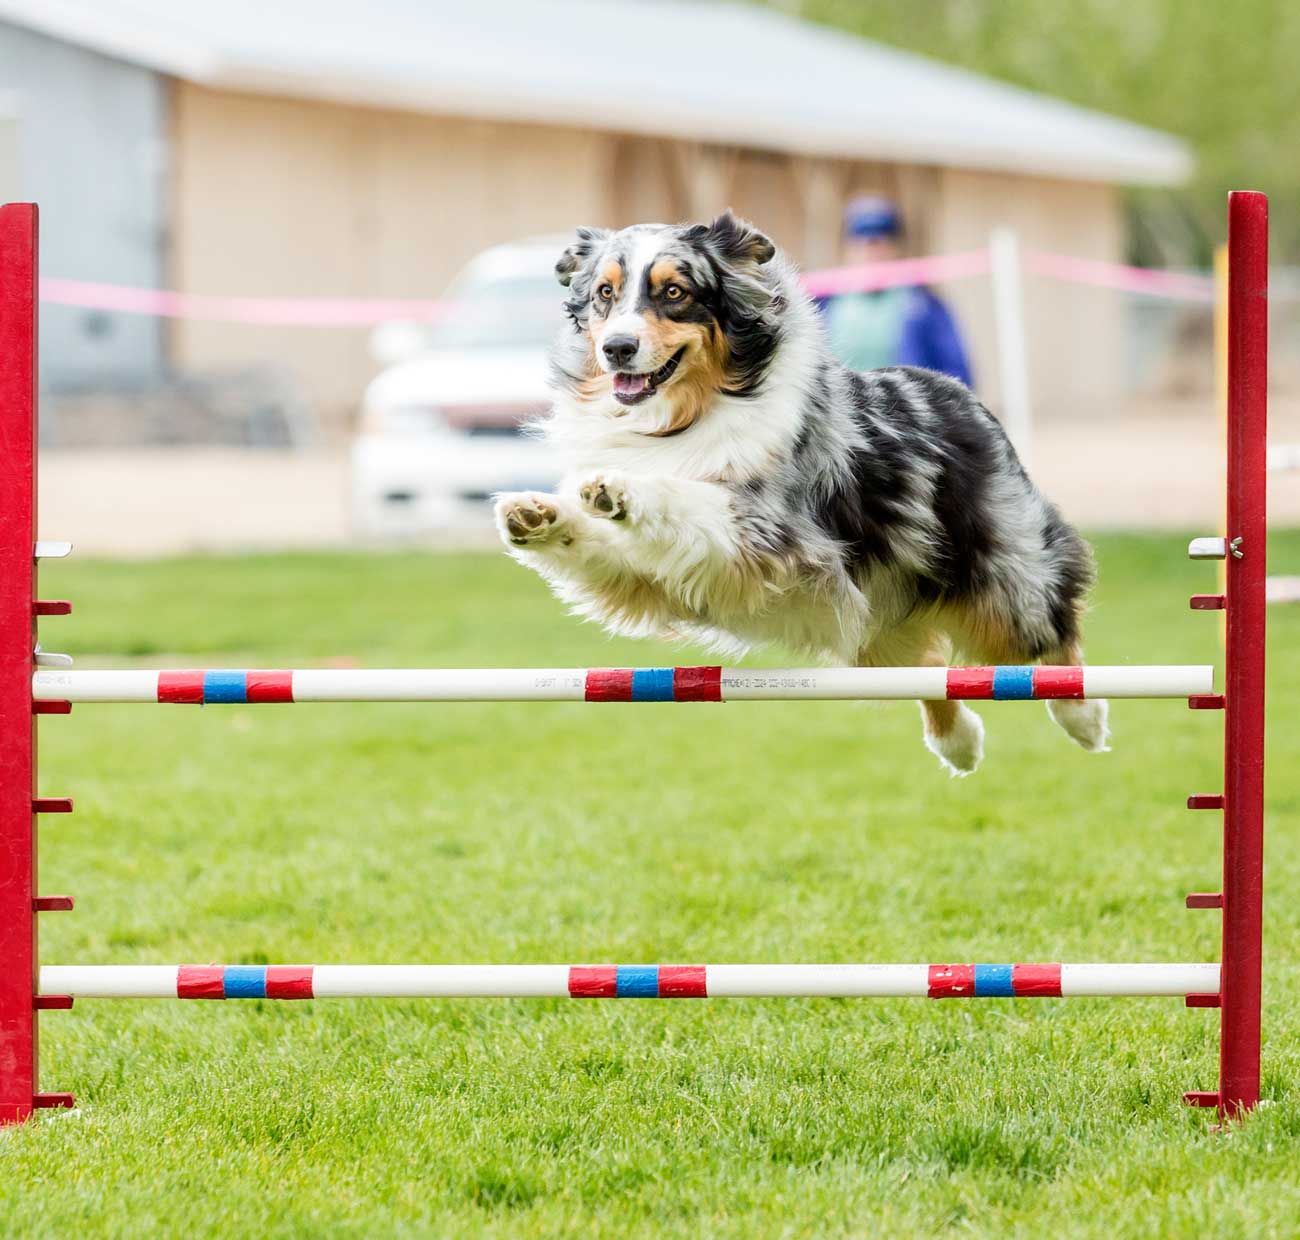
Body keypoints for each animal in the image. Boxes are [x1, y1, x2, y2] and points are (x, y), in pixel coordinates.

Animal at [493, 213, 1107, 774]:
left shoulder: (770, 533)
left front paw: (623, 488)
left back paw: (1084, 716)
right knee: (934, 668)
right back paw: (959, 745)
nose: (618, 348)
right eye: (605, 293)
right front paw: (537, 514)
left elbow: (689, 496)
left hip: (1004, 579)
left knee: (1049, 635)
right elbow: (597, 542)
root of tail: (960, 392)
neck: (680, 416)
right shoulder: (649, 577)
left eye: (674, 292)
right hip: (879, 622)